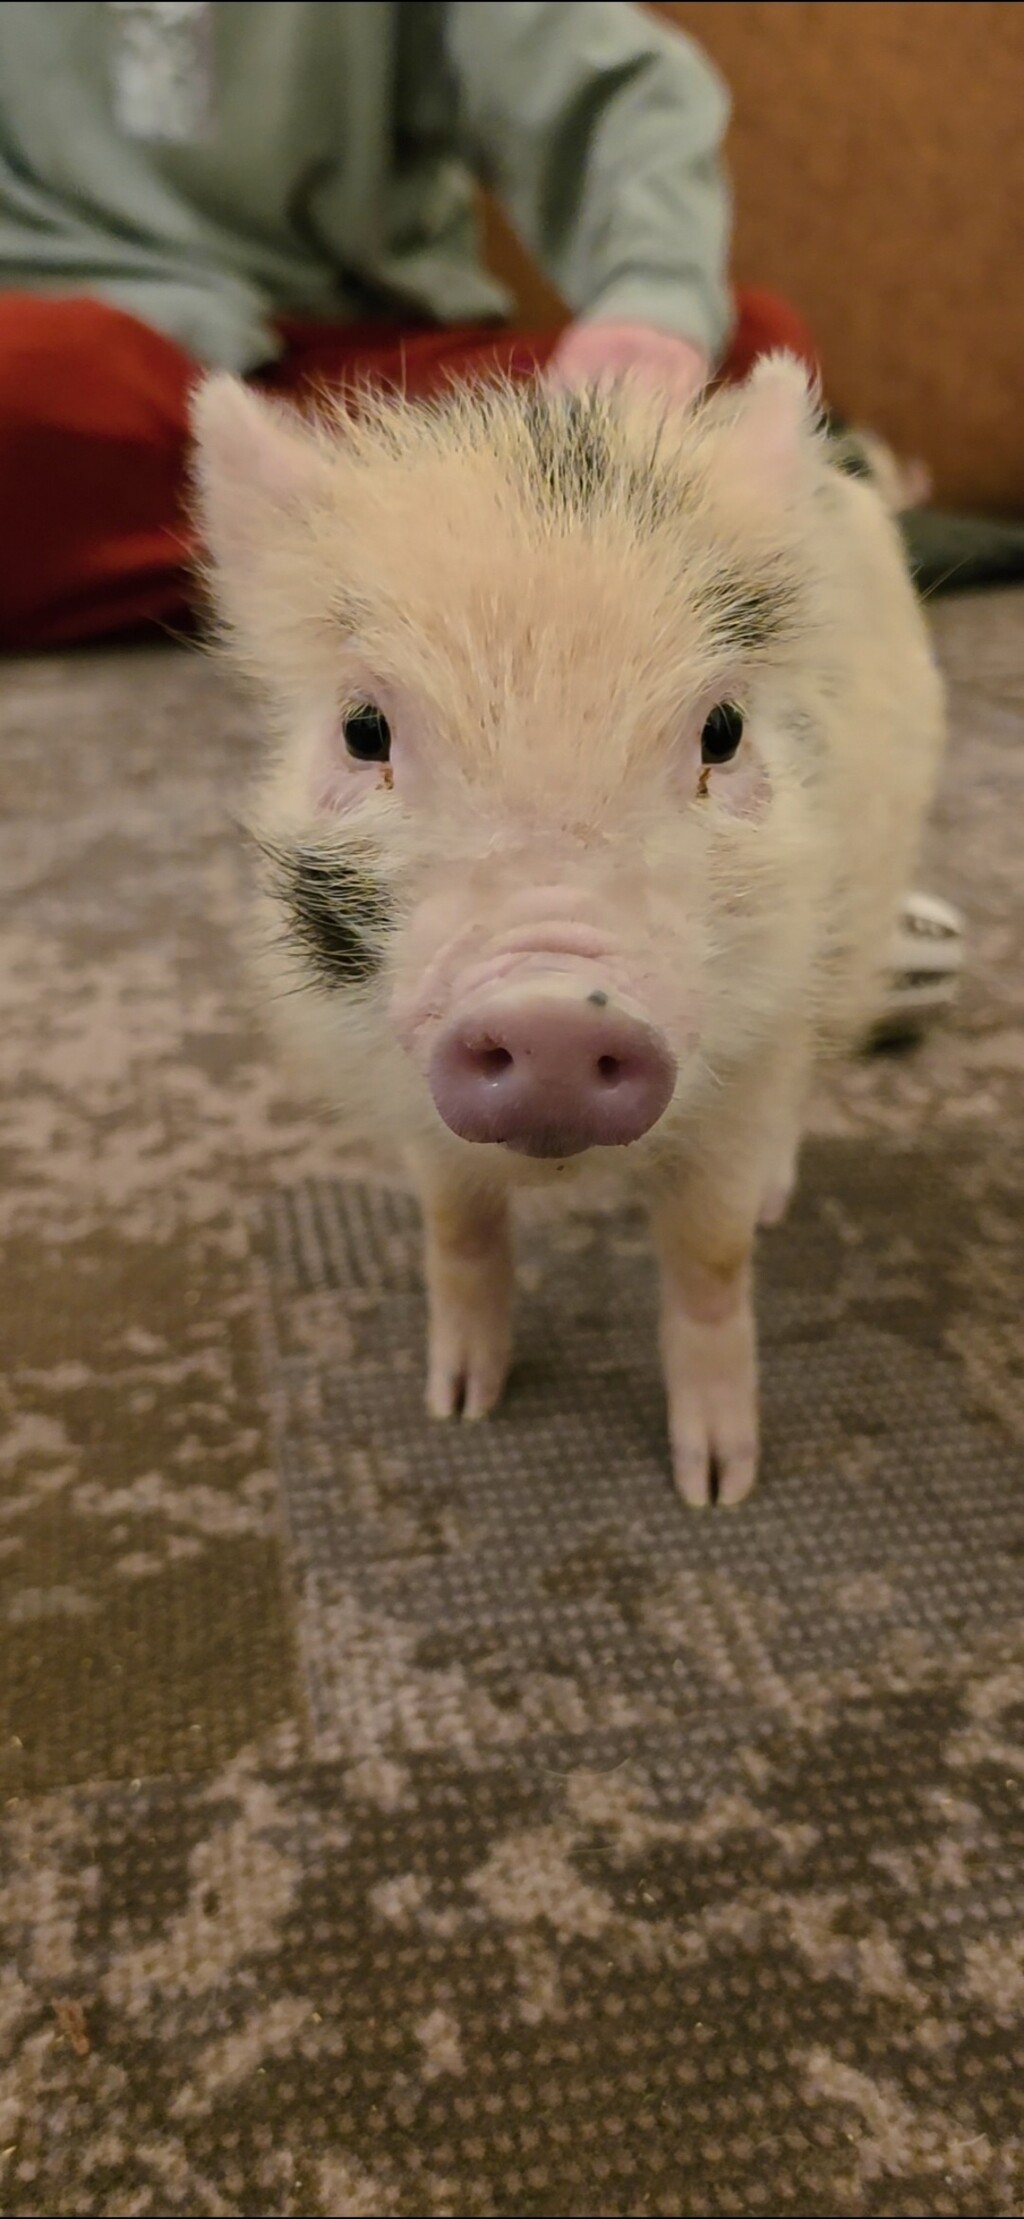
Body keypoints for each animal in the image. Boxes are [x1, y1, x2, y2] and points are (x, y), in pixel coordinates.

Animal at [191, 356, 945, 1506]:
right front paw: (458, 1407)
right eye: (364, 729)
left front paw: (717, 1486)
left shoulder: (749, 1048)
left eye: (722, 729)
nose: (552, 1015)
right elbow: (456, 1231)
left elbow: (711, 1256)